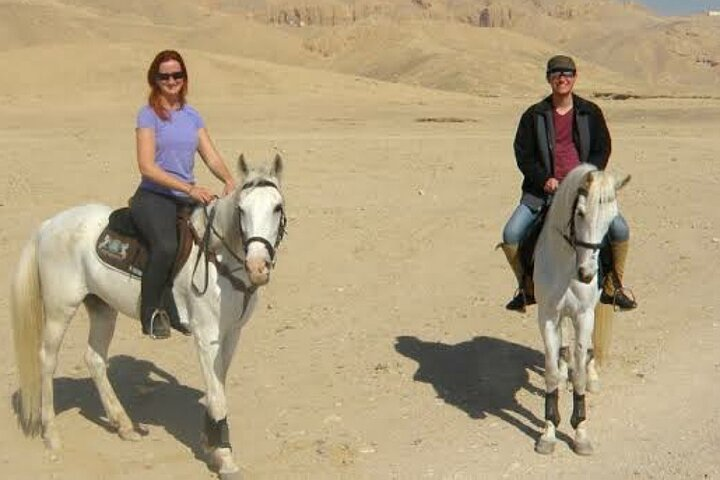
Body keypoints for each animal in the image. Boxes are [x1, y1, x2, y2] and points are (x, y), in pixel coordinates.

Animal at [10, 155, 286, 476]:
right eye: (241, 209)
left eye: (277, 207)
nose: (258, 267)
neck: (218, 258)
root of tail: (48, 225)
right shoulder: (207, 336)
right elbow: (217, 396)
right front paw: (225, 458)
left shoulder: (232, 334)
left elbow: (218, 385)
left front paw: (211, 443)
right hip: (59, 309)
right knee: (47, 360)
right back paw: (52, 435)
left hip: (102, 307)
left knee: (94, 359)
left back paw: (124, 425)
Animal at [532, 163, 628, 456]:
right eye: (580, 213)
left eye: (611, 220)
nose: (587, 274)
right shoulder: (548, 315)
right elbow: (551, 373)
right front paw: (549, 433)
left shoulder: (584, 315)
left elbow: (580, 377)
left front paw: (580, 432)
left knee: (586, 352)